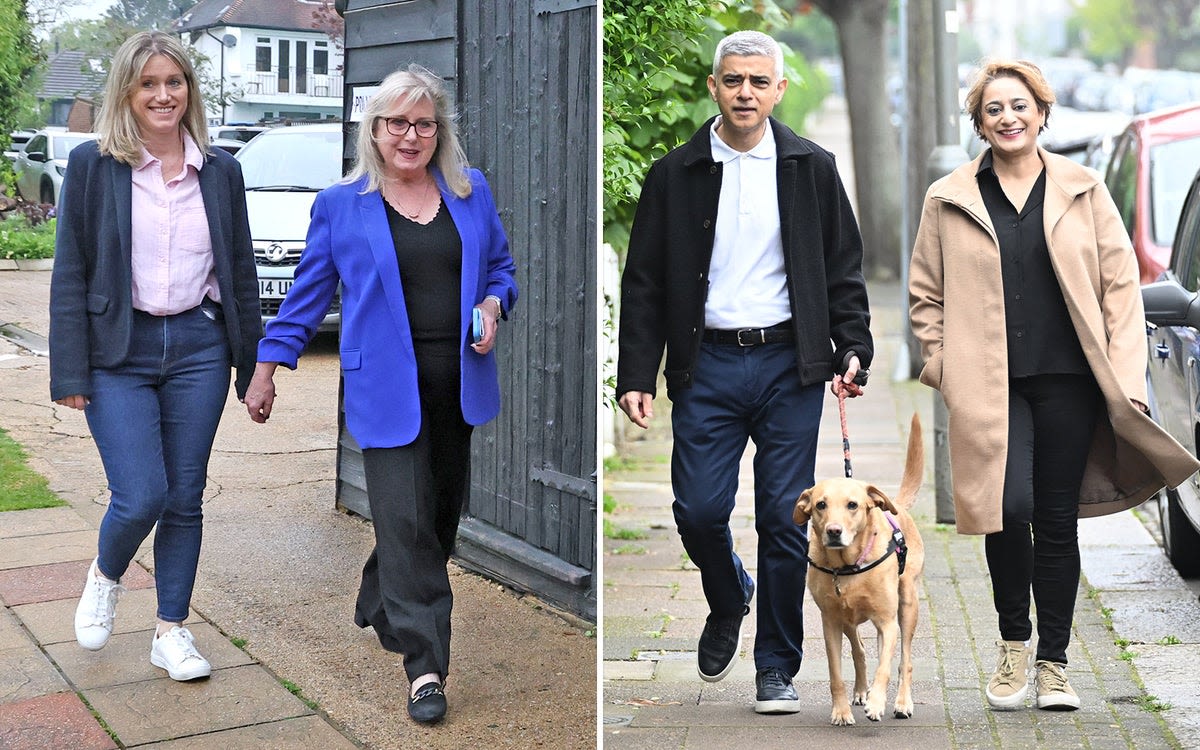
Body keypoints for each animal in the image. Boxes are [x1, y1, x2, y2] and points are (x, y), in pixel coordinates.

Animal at [796, 412, 926, 724]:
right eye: (820, 505)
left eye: (852, 505)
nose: (833, 531)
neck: (847, 567)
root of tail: (896, 505)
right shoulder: (831, 623)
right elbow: (836, 673)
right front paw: (842, 710)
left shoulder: (888, 623)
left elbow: (886, 667)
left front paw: (877, 703)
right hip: (847, 621)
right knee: (860, 650)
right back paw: (860, 691)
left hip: (907, 606)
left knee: (904, 661)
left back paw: (902, 702)